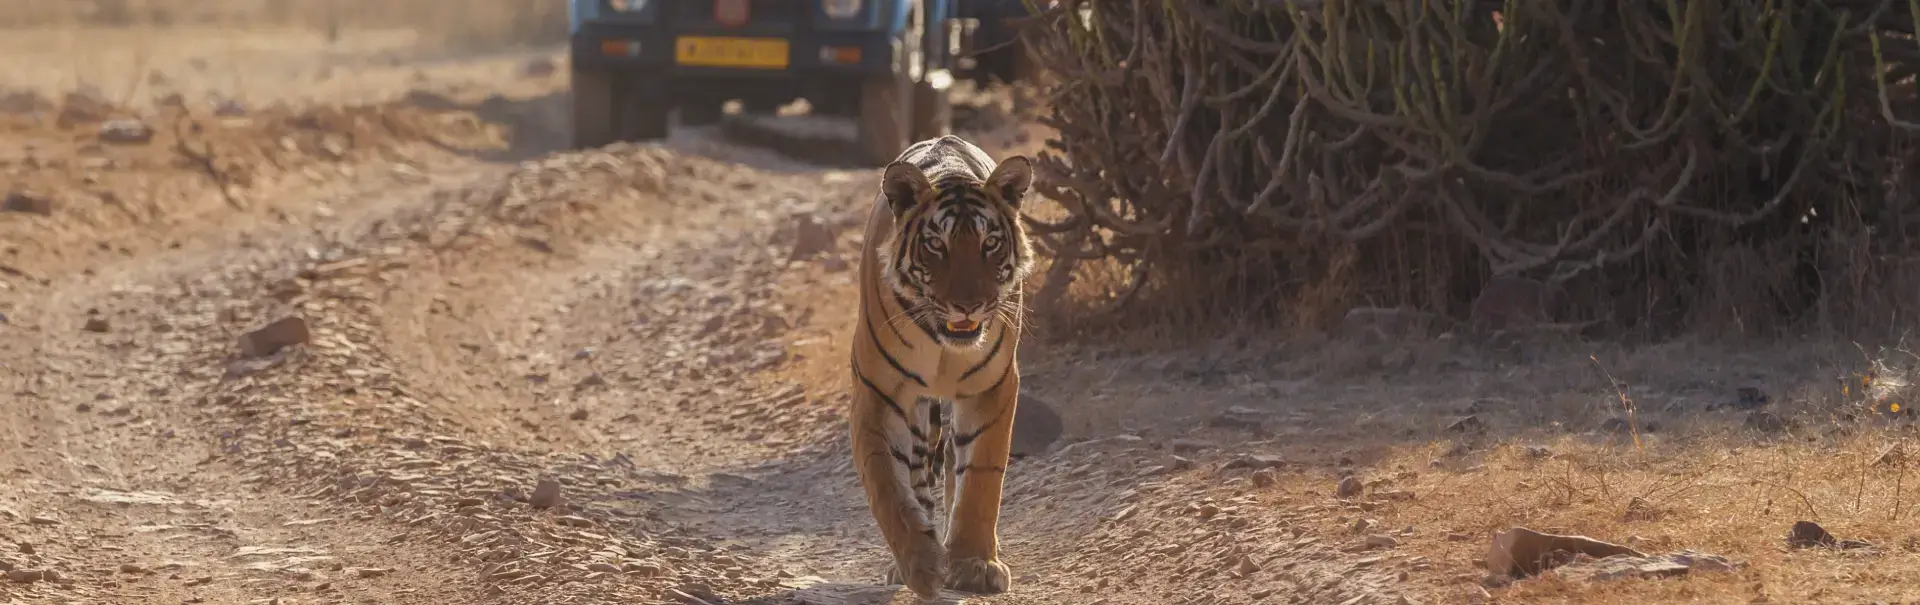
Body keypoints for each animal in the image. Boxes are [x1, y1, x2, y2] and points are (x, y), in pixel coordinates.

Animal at [848, 132, 1036, 599]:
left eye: (990, 244)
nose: (968, 305)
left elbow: (981, 479)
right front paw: (921, 565)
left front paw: (973, 564)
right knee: (918, 474)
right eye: (937, 245)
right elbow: (888, 486)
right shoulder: (878, 394)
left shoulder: (993, 387)